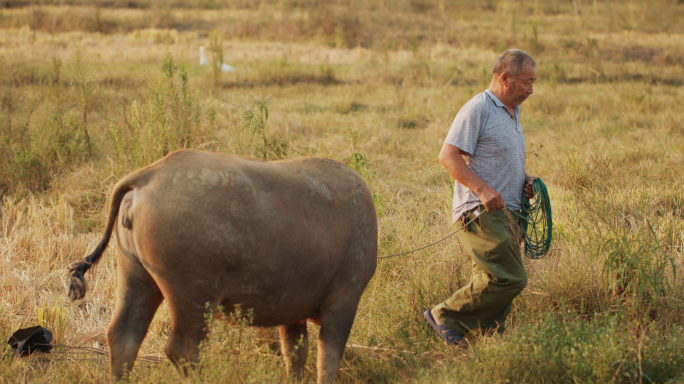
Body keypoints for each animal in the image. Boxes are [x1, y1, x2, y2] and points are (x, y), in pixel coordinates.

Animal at [68, 148, 380, 382]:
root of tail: (149, 175)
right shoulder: (343, 302)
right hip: (193, 296)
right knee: (183, 349)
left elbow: (296, 355)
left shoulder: (294, 313)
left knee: (124, 337)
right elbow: (328, 360)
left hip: (137, 279)